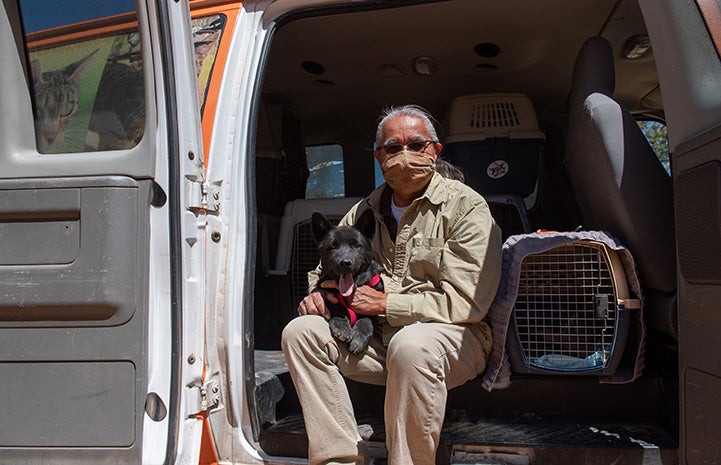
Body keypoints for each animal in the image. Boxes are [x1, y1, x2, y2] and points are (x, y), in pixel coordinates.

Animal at [312, 208, 386, 354]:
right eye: (333, 246)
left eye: (356, 245)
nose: (345, 263)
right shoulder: (325, 293)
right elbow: (336, 306)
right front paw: (342, 326)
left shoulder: (373, 305)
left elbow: (366, 319)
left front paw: (359, 337)